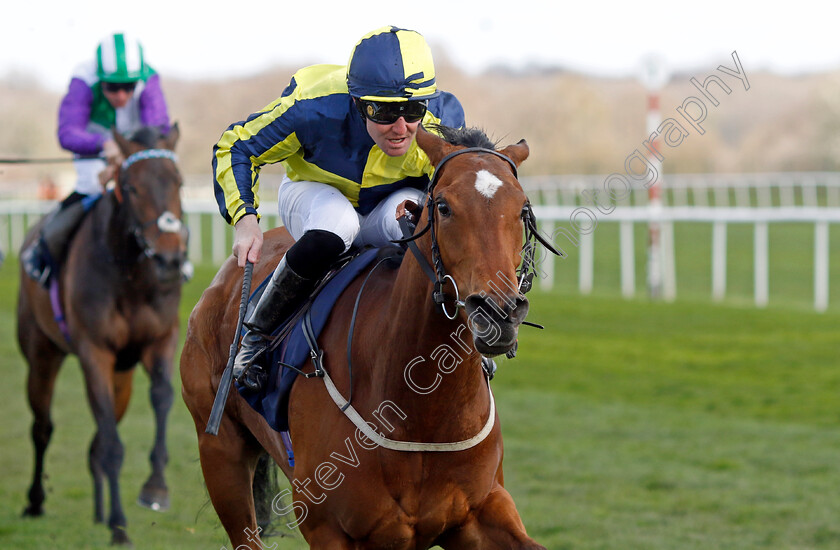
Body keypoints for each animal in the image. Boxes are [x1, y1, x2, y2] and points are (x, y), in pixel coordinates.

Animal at [16, 126, 188, 548]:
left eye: (178, 182)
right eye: (131, 186)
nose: (170, 260)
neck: (129, 276)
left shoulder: (160, 340)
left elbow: (161, 397)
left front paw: (155, 488)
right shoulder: (94, 351)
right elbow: (111, 445)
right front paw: (120, 527)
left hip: (121, 375)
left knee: (99, 430)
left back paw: (98, 511)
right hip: (41, 354)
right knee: (42, 427)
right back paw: (35, 502)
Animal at [181, 127, 556, 548]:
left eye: (523, 209)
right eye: (443, 207)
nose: (498, 313)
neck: (420, 410)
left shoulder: (479, 512)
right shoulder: (328, 529)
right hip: (220, 452)